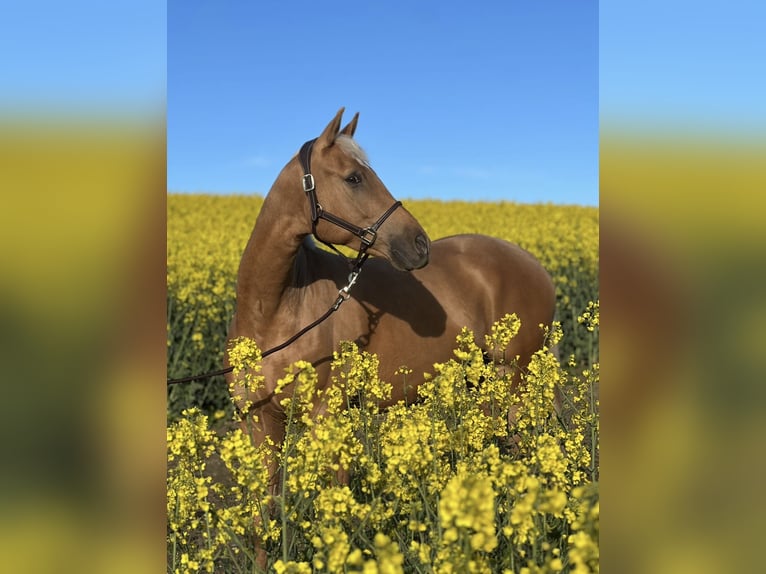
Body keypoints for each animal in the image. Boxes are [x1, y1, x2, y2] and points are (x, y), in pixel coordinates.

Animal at [225, 108, 556, 565]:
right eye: (353, 178)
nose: (419, 244)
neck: (276, 311)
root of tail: (534, 264)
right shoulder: (259, 422)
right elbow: (265, 516)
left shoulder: (327, 418)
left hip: (516, 380)